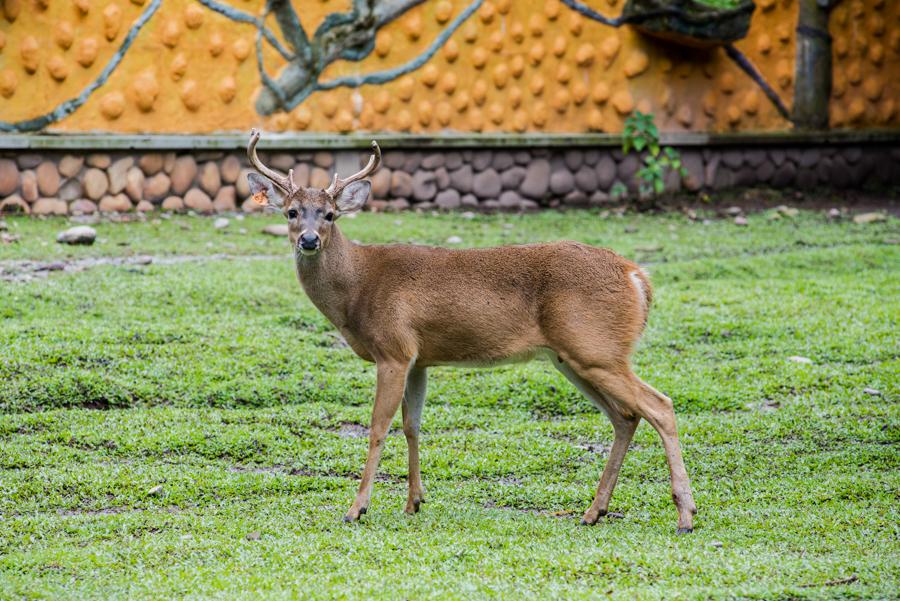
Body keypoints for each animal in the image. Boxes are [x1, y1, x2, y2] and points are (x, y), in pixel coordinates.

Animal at [244, 130, 696, 528]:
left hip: (595, 348)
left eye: (331, 215)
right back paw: (594, 512)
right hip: (572, 357)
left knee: (659, 405)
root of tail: (637, 276)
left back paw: (685, 515)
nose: (308, 240)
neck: (358, 285)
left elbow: (377, 428)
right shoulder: (418, 358)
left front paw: (357, 509)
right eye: (291, 212)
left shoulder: (393, 349)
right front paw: (414, 501)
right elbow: (412, 425)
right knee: (626, 416)